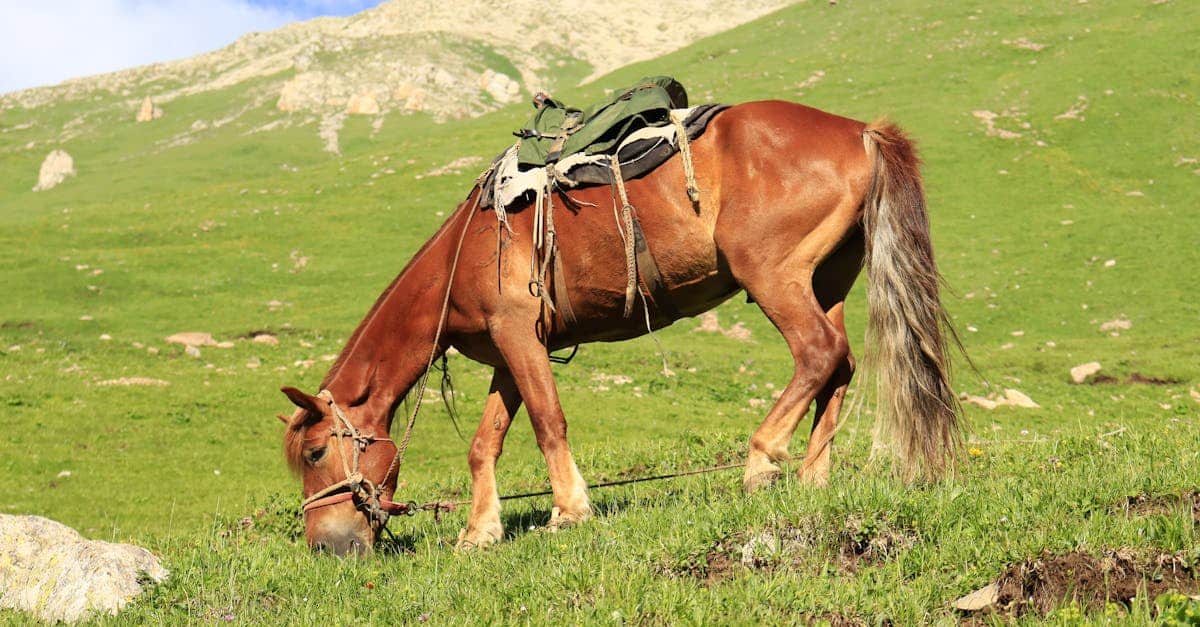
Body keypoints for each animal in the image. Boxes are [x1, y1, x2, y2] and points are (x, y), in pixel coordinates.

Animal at [277, 100, 963, 556]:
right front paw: (481, 531)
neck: (461, 254)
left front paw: (569, 511)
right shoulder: (511, 351)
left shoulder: (519, 338)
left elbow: (548, 423)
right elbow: (484, 444)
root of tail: (859, 131)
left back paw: (763, 461)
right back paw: (813, 476)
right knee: (841, 365)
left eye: (315, 452)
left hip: (774, 276)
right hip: (827, 281)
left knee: (818, 354)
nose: (323, 546)